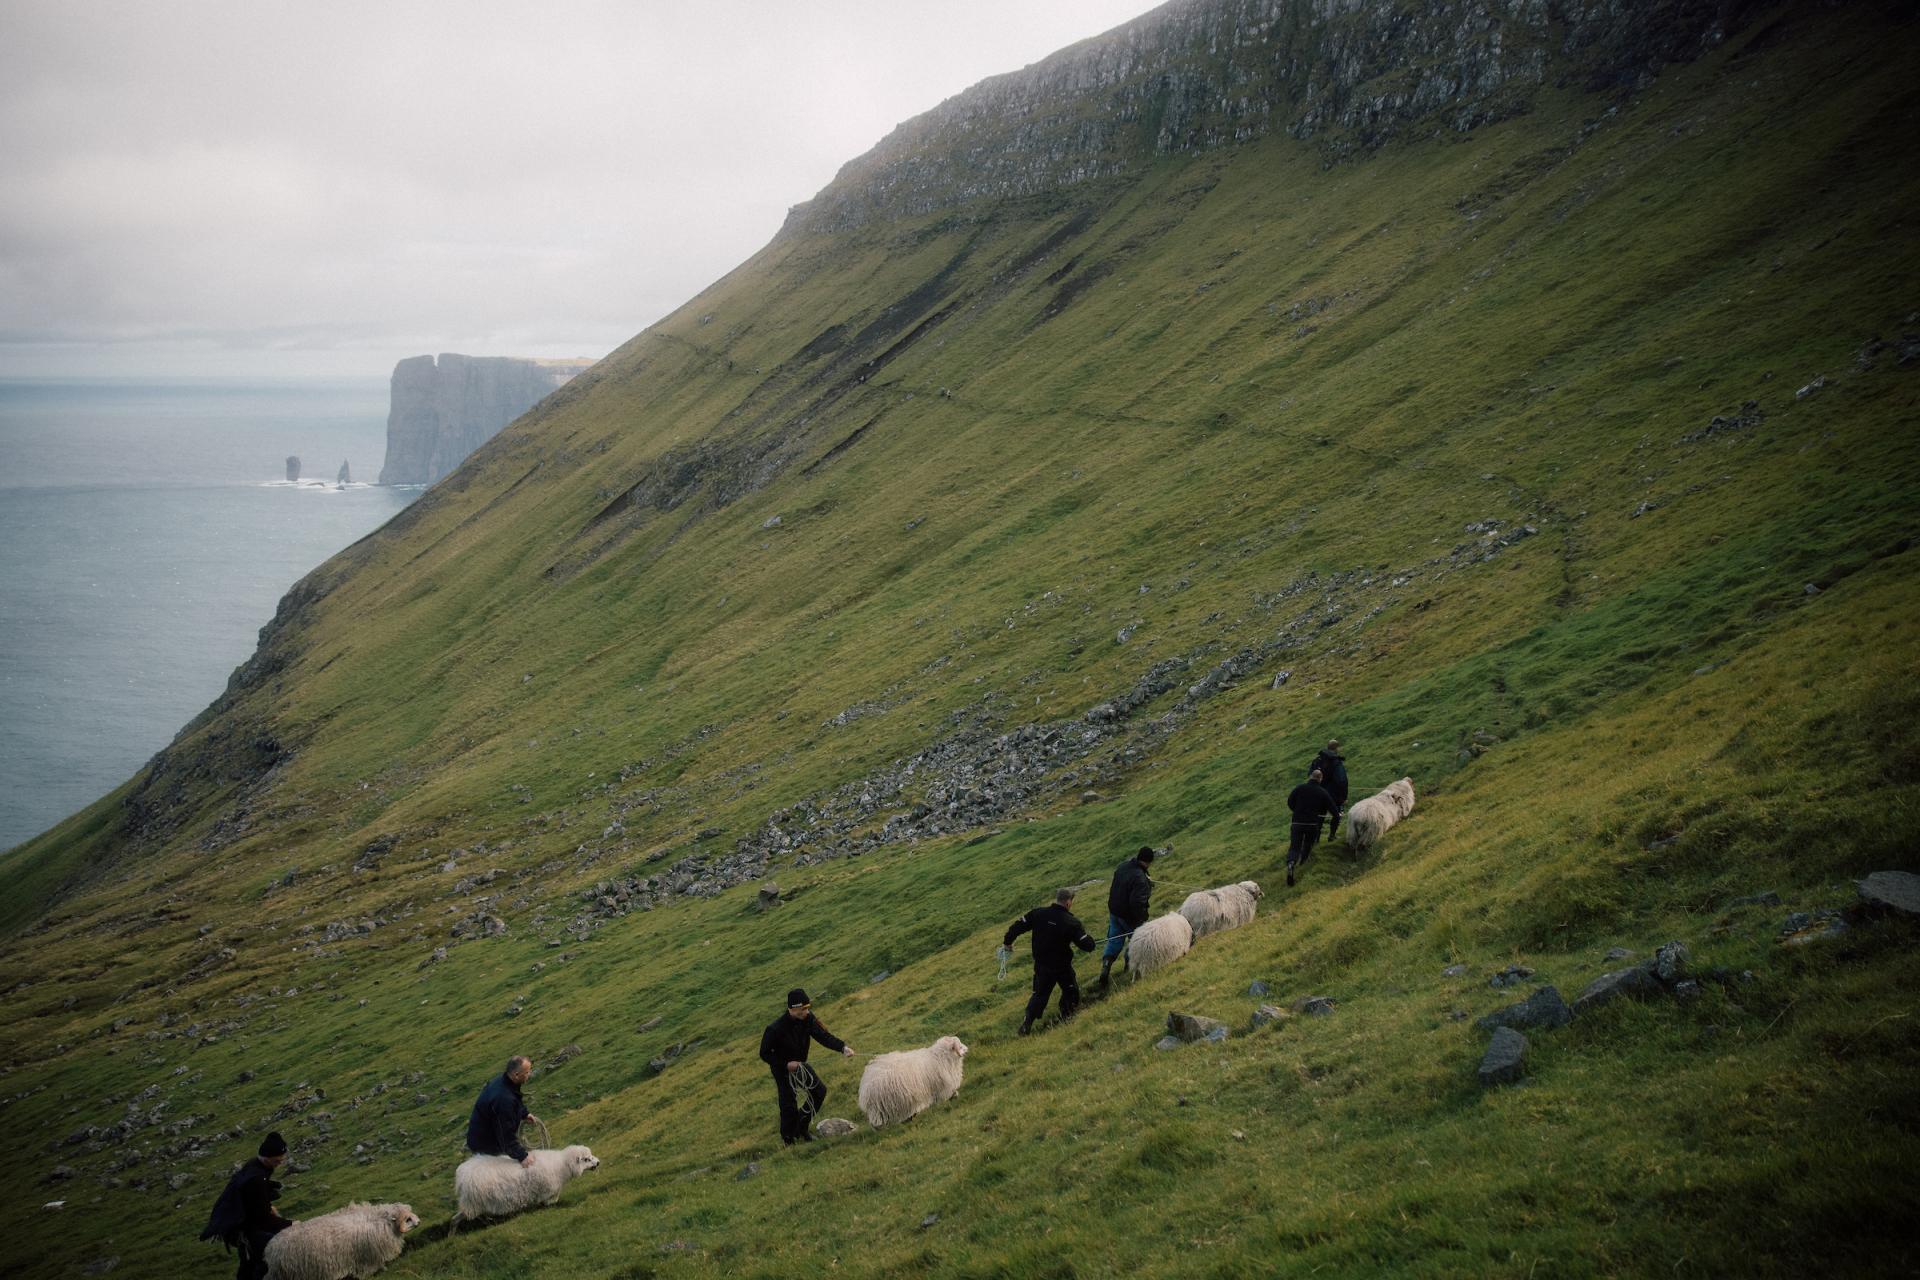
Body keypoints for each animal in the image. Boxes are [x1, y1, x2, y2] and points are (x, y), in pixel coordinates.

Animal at [261, 1205, 418, 1280]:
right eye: (407, 1219)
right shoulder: (368, 1257)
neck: (380, 1221)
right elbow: (371, 1268)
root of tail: (270, 1249)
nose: (419, 1222)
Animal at [451, 1143, 595, 1228]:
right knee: (466, 1216)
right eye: (586, 1159)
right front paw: (548, 1206)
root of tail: (460, 1177)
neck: (561, 1165)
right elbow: (550, 1200)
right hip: (474, 1202)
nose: (598, 1162)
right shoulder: (546, 1190)